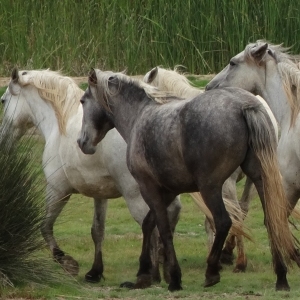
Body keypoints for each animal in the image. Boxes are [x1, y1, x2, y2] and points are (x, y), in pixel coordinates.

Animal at [0, 68, 182, 286]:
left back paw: (150, 276)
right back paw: (165, 269)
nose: (2, 141)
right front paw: (95, 272)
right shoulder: (99, 194)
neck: (60, 125)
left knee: (153, 226)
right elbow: (97, 231)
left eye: (3, 101)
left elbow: (45, 226)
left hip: (136, 196)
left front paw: (66, 262)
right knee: (169, 217)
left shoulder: (57, 189)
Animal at [77, 68, 298, 290]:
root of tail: (244, 105)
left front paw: (172, 277)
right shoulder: (167, 191)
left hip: (211, 187)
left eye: (83, 100)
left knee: (224, 221)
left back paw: (212, 271)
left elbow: (163, 228)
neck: (140, 116)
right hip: (260, 181)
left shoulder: (149, 188)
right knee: (273, 220)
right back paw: (281, 277)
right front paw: (144, 274)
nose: (81, 142)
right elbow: (149, 224)